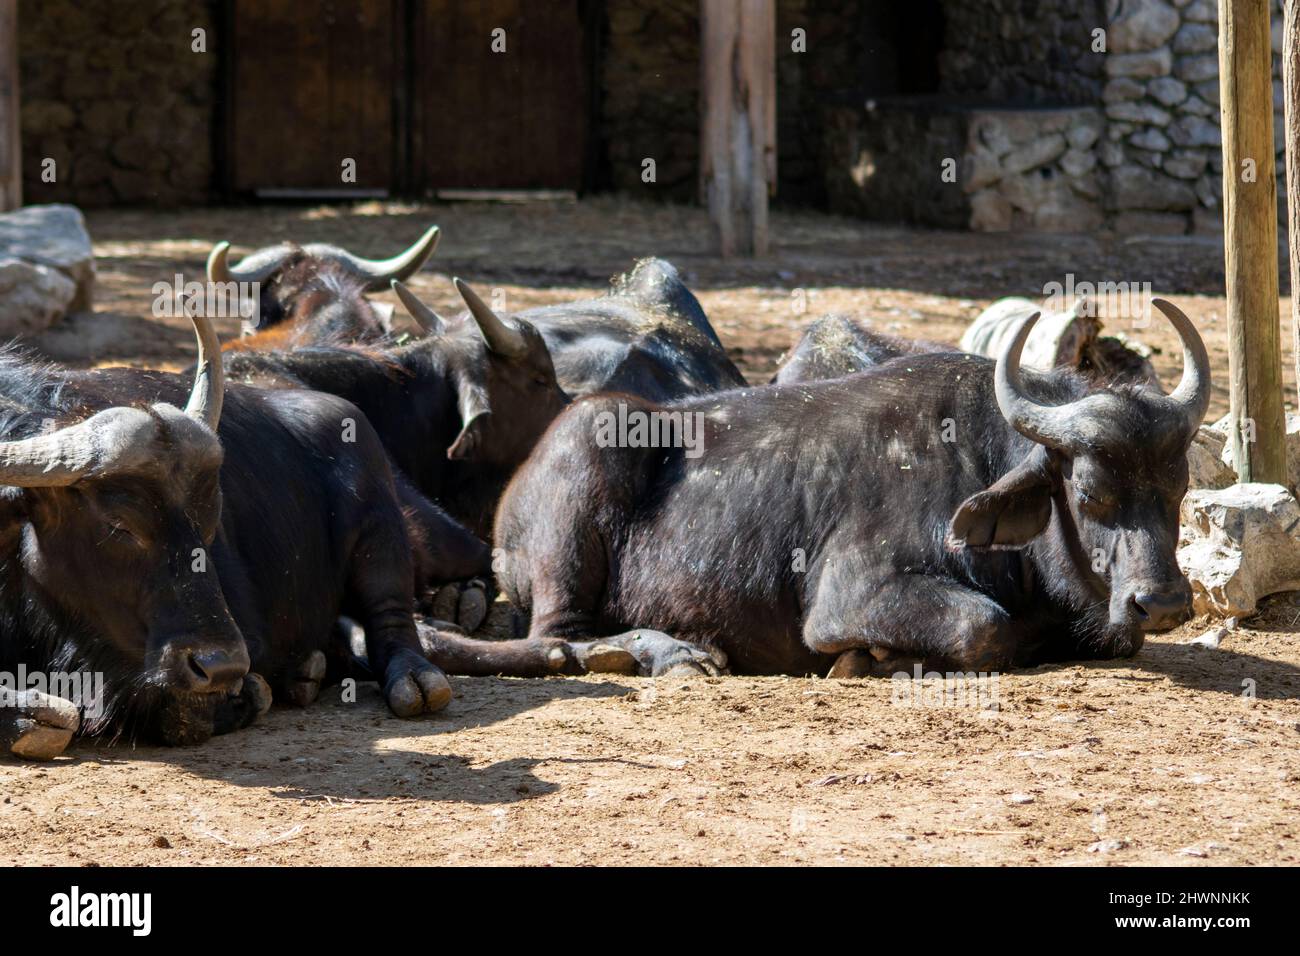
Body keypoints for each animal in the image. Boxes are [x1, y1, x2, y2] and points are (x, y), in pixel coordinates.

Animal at [496, 299, 1206, 681]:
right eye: (1088, 492)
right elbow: (984, 627)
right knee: (557, 635)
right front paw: (869, 660)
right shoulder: (851, 594)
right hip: (589, 453)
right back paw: (672, 653)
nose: (1164, 603)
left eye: (1177, 488)